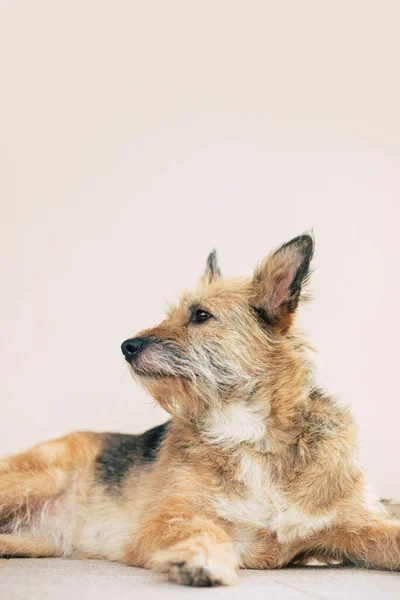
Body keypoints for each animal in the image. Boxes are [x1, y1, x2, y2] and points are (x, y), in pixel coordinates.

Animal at [0, 234, 400, 584]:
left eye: (201, 315)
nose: (126, 346)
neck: (249, 433)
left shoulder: (353, 523)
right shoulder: (166, 519)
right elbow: (206, 528)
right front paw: (203, 558)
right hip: (39, 478)